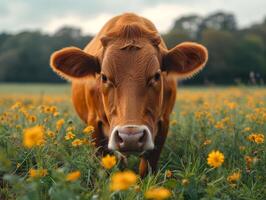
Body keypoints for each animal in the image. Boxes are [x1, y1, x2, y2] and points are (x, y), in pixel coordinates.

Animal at [50, 12, 208, 176]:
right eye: (104, 77)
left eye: (156, 76)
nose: (130, 137)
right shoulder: (94, 124)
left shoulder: (163, 122)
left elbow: (147, 167)